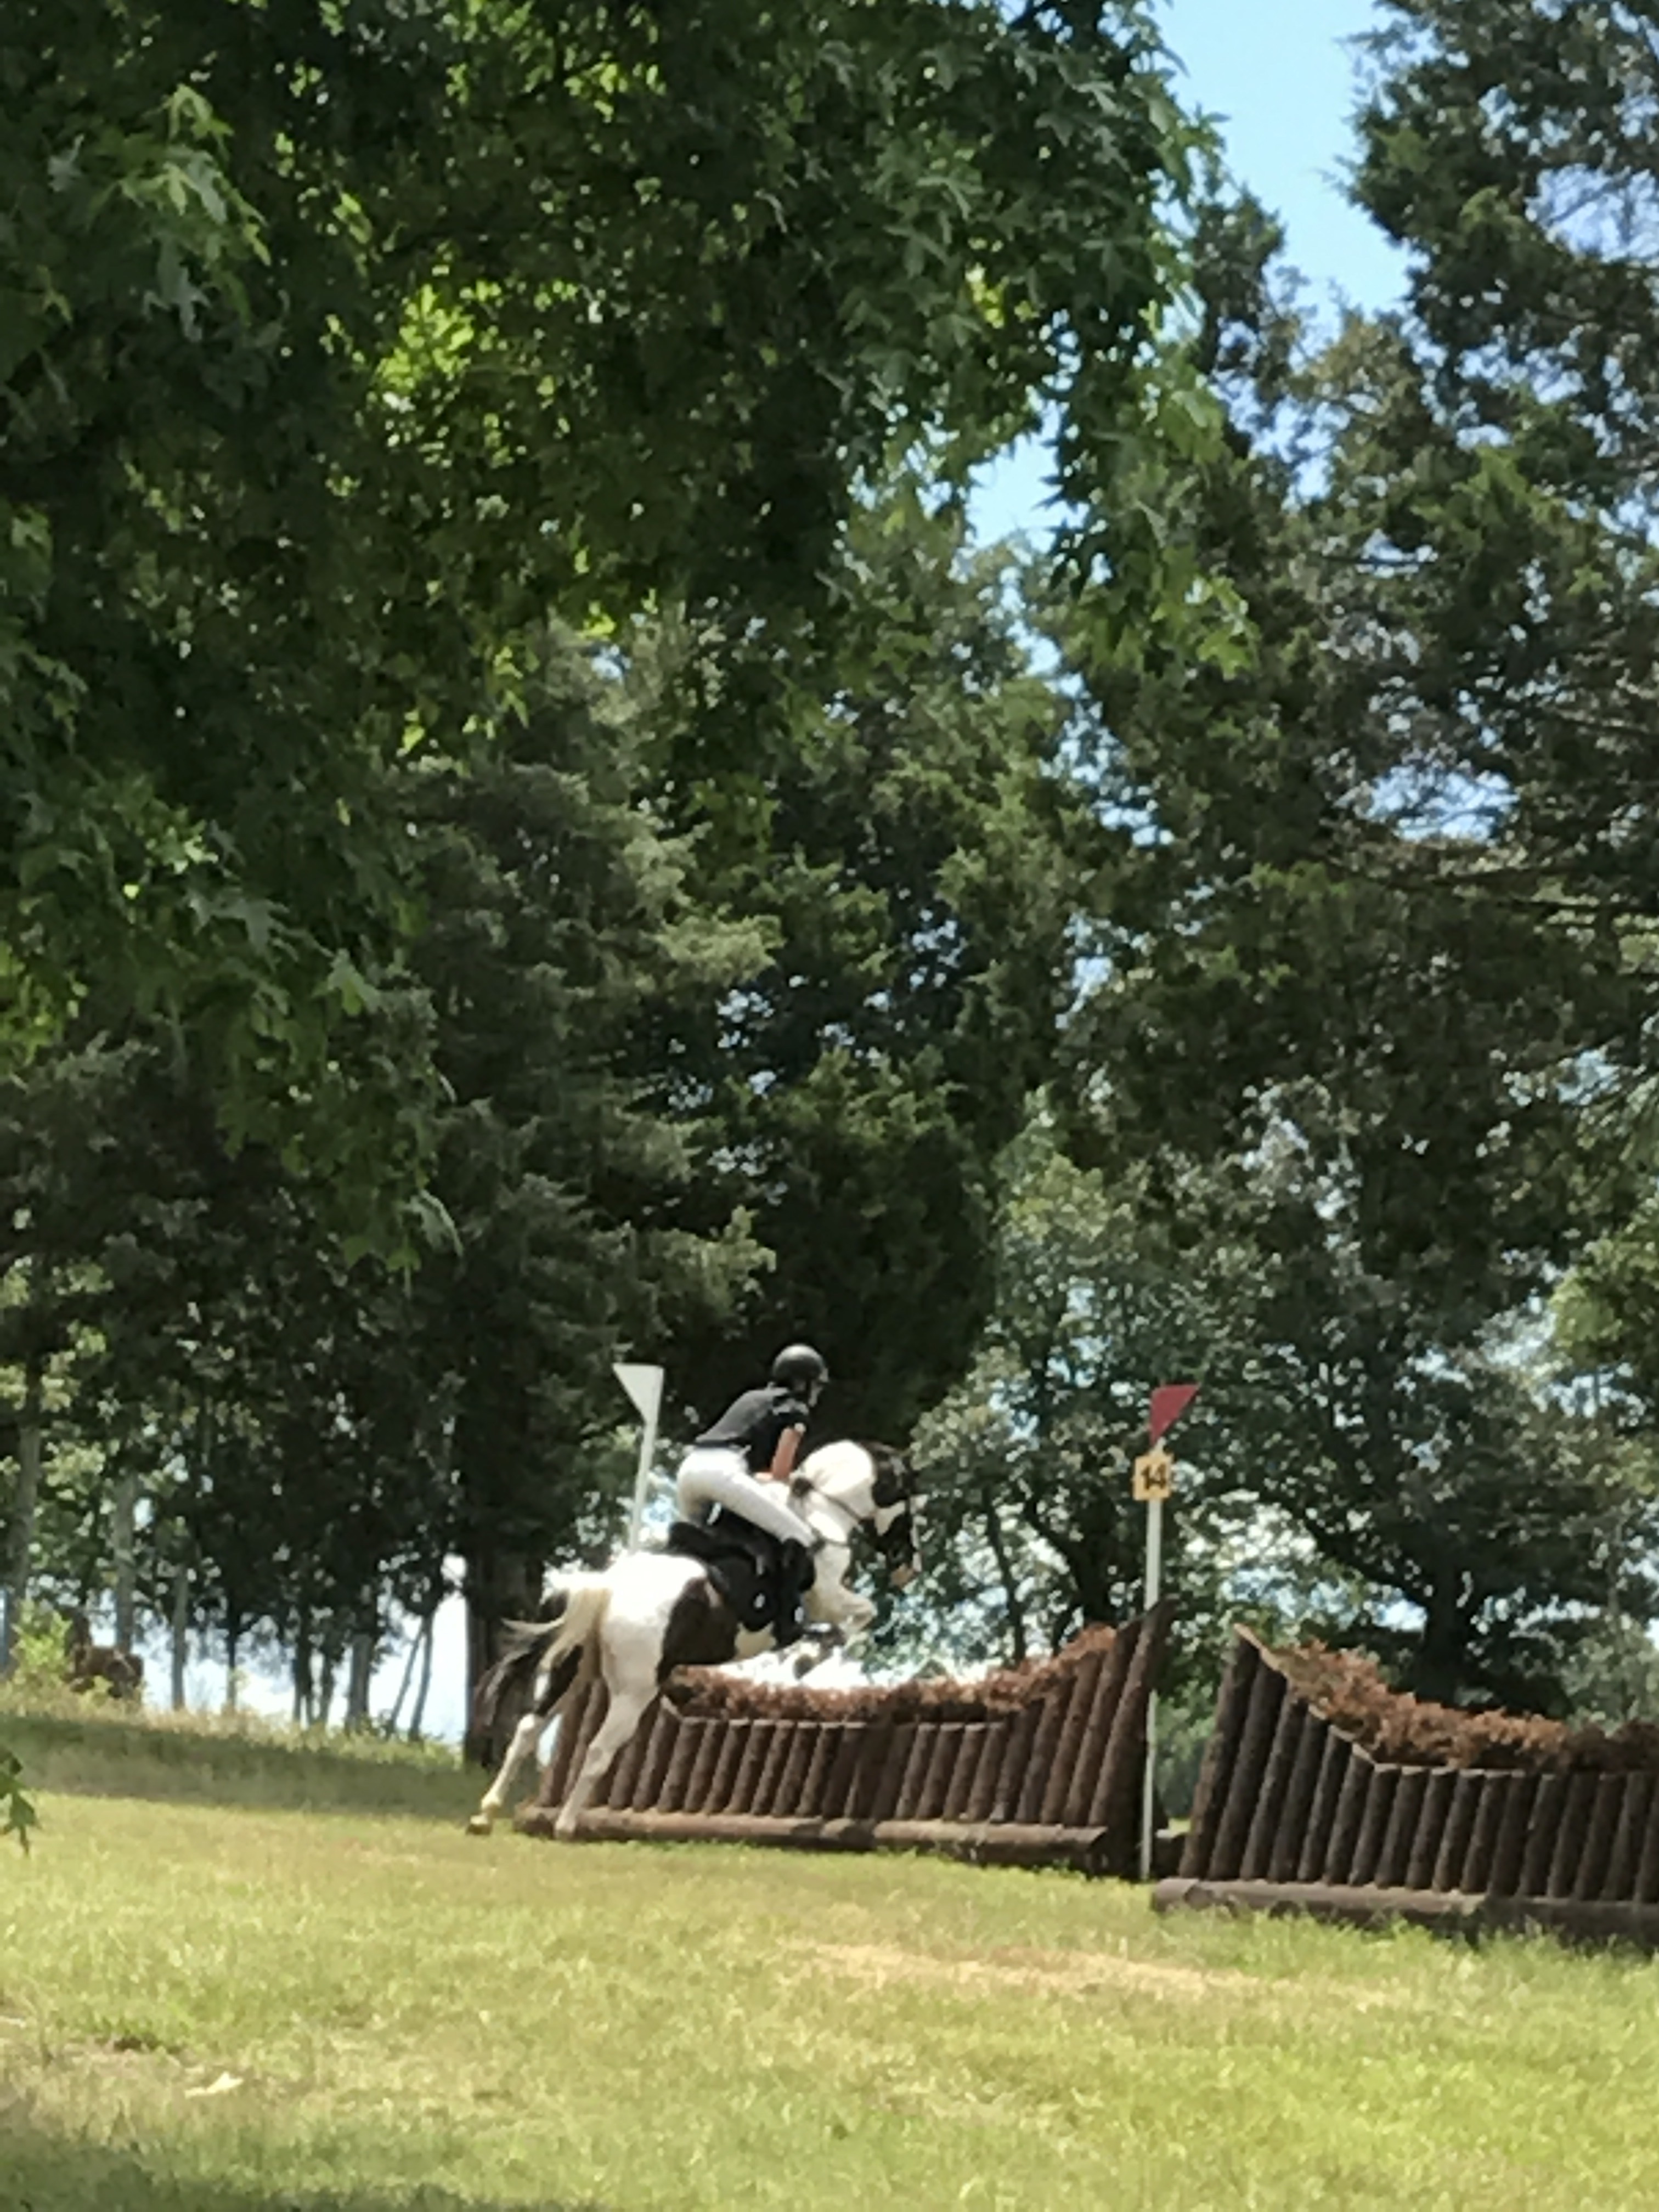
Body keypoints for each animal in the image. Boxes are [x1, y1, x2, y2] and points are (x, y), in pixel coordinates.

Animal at [465, 1438, 921, 1838]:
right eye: (909, 1503)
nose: (909, 1568)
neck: (821, 1511)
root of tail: (608, 1587)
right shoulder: (825, 1595)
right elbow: (863, 1613)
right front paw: (810, 1654)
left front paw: (815, 1650)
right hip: (634, 1690)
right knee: (597, 1751)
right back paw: (566, 1826)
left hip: (574, 1671)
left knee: (527, 1731)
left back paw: (485, 1815)